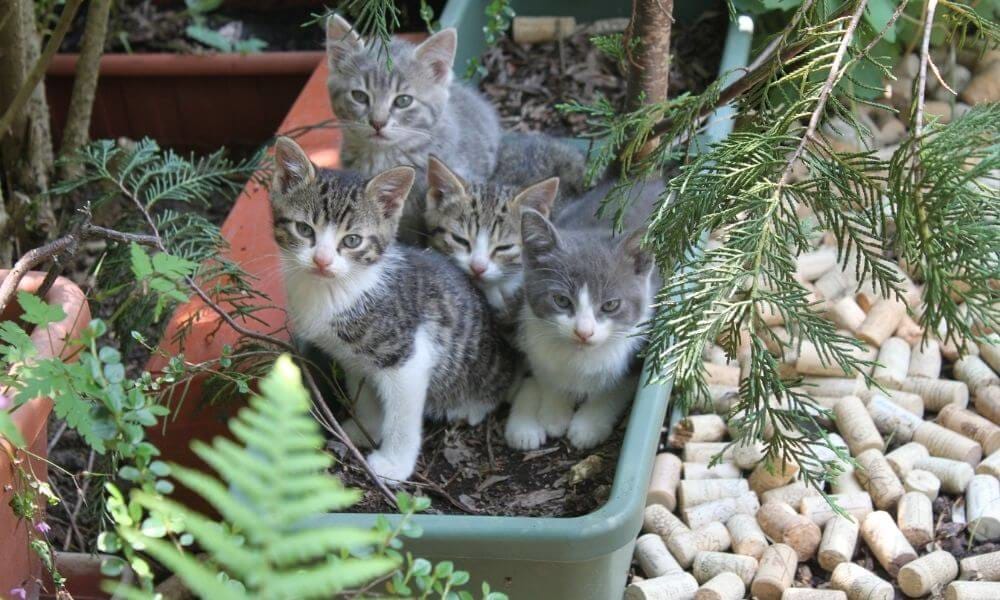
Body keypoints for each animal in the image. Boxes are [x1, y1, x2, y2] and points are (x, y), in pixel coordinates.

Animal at [270, 136, 520, 482]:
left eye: (352, 240)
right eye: (304, 230)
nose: (321, 260)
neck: (335, 290)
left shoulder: (408, 357)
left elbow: (402, 416)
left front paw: (393, 464)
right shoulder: (352, 357)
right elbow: (363, 392)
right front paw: (363, 428)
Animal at [504, 179, 660, 450]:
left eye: (610, 305)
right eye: (561, 300)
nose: (583, 332)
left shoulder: (638, 349)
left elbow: (615, 387)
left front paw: (588, 425)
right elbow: (543, 373)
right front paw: (554, 411)